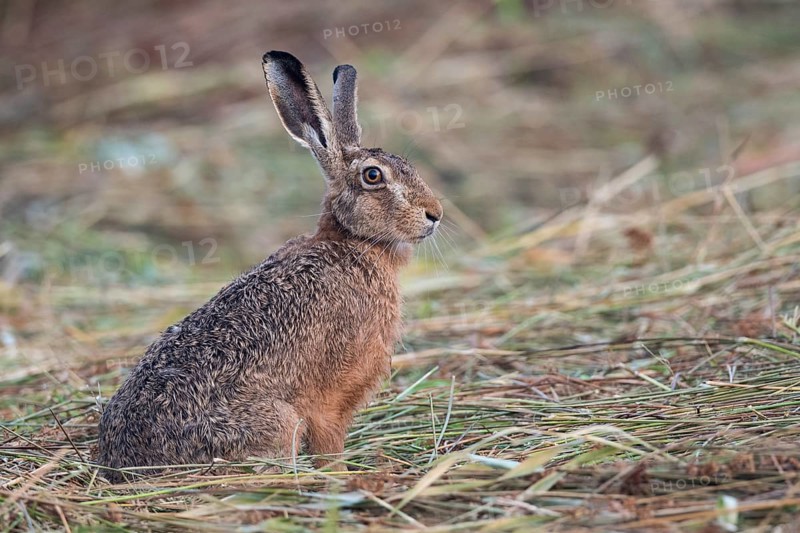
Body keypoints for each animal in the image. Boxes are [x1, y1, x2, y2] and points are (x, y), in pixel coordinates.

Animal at [95, 51, 443, 482]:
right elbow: (329, 446)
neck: (352, 243)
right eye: (373, 175)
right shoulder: (329, 403)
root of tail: (122, 468)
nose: (435, 214)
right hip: (277, 423)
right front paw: (343, 477)